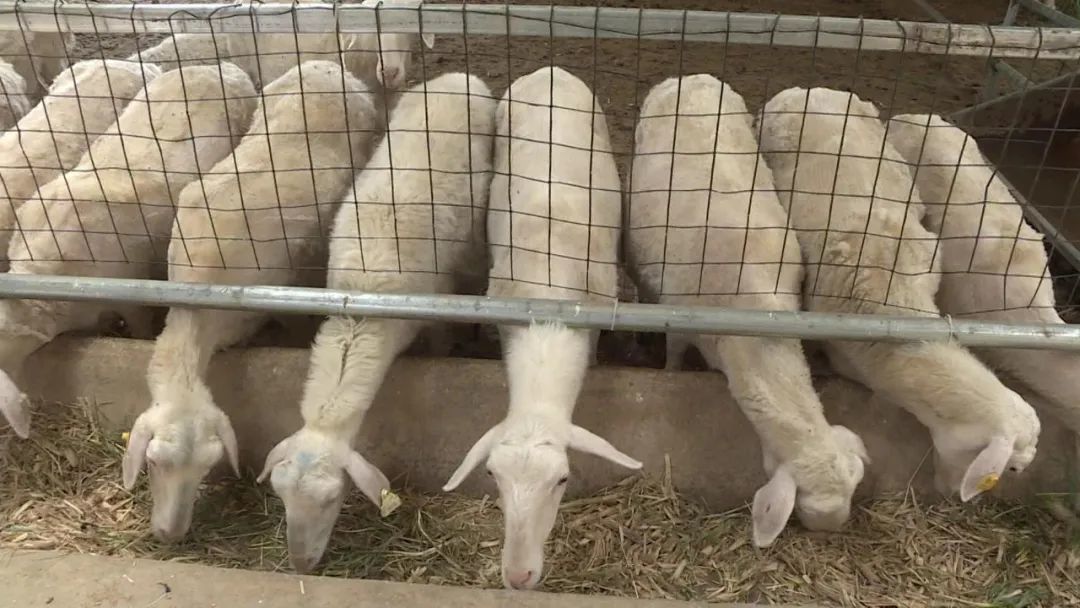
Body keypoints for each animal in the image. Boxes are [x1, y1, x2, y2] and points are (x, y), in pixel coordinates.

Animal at [257, 71, 495, 573]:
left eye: (332, 499)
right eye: (281, 497)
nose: (301, 564)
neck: (362, 308)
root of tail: (457, 75)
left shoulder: (434, 308)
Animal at [625, 75, 869, 547]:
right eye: (807, 511)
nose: (832, 532)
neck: (755, 311)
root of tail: (691, 78)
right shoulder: (679, 321)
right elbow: (673, 359)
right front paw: (669, 374)